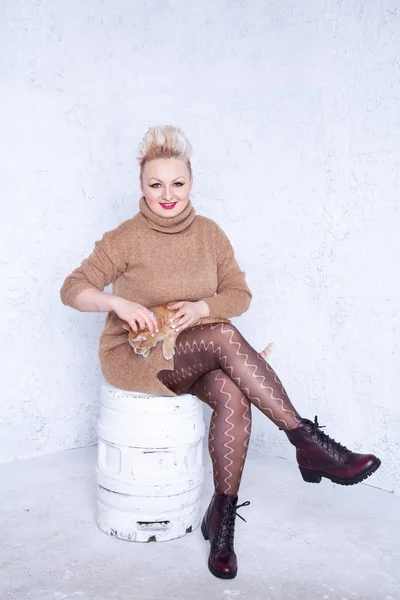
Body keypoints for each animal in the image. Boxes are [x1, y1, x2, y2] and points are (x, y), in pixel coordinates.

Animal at [120, 300, 274, 360]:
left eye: (138, 346)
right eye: (133, 347)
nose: (136, 352)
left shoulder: (177, 326)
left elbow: (169, 338)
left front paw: (167, 351)